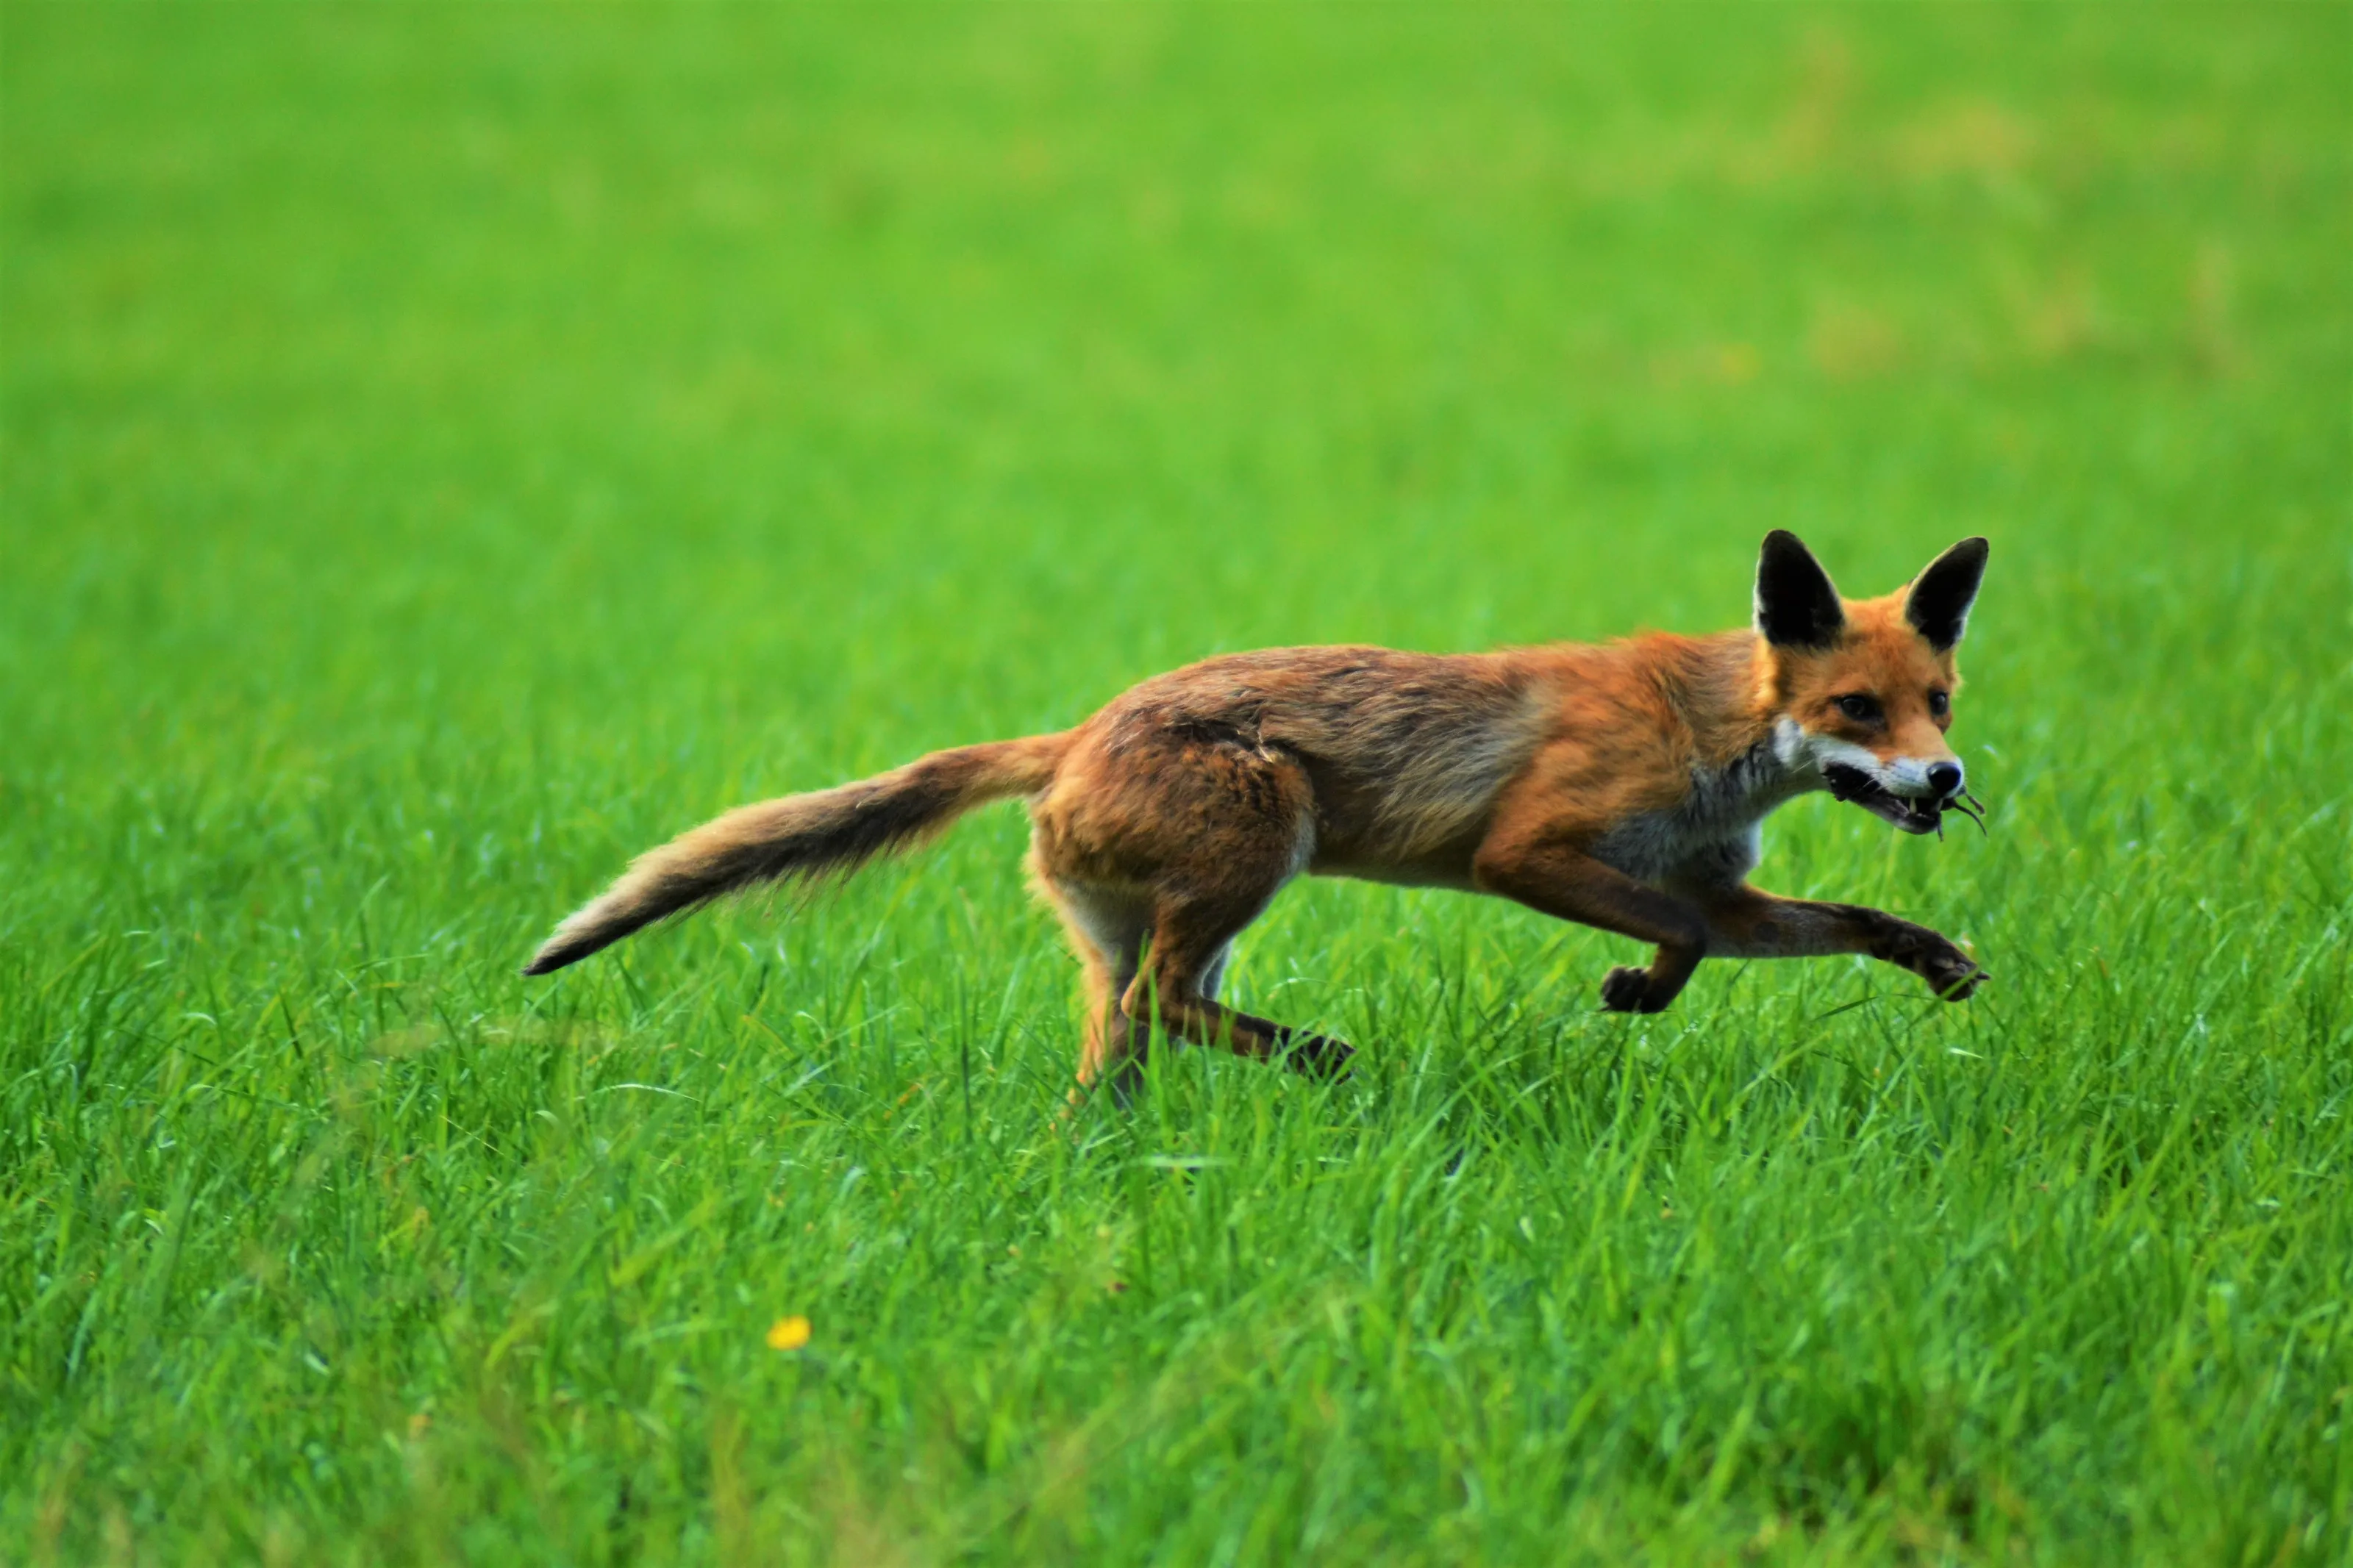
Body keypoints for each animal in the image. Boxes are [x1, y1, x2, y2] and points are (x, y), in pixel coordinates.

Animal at [524, 531, 1991, 1096]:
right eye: (1858, 707)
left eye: (1939, 702)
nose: (1944, 781)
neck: (1710, 736)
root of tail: (1078, 730)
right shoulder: (1529, 849)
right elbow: (1670, 936)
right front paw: (1639, 987)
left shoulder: (1718, 882)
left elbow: (1846, 915)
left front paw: (1938, 959)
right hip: (1258, 843)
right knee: (1173, 1002)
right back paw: (1314, 1057)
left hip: (1141, 932)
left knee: (1124, 1037)